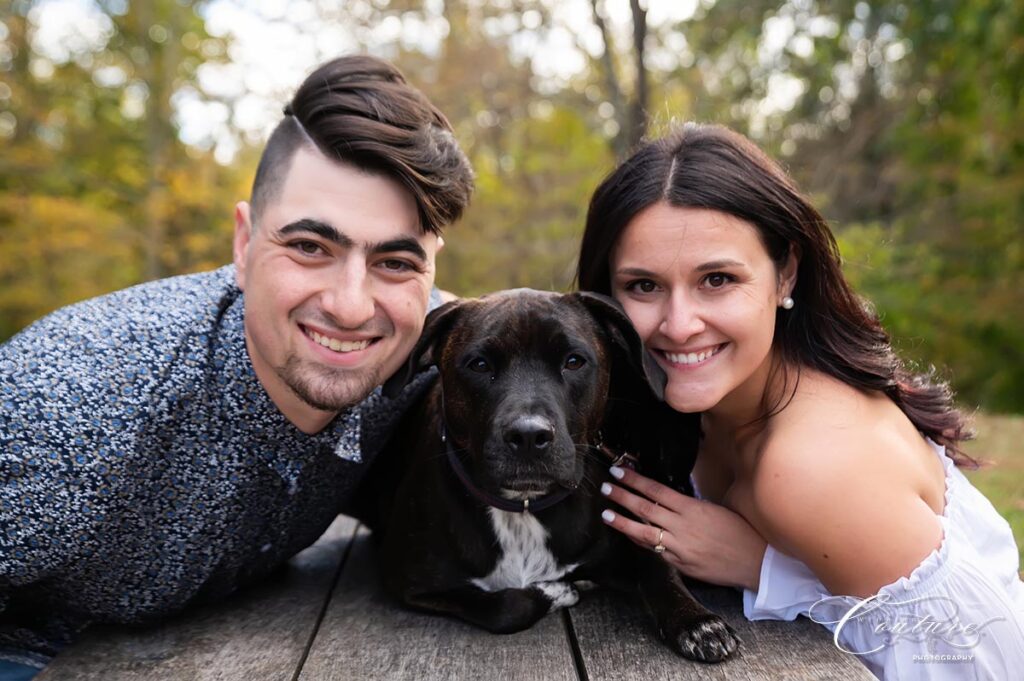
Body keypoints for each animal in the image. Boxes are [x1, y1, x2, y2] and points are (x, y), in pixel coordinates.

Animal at [356, 288, 741, 659]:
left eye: (574, 361)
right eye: (479, 365)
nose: (529, 435)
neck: (523, 509)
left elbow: (658, 566)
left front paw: (697, 621)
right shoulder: (410, 580)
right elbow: (506, 607)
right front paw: (556, 592)